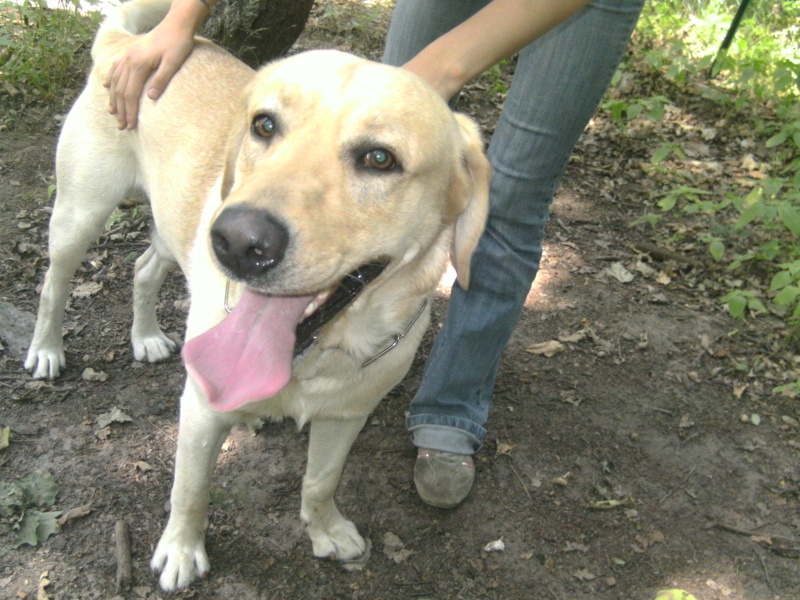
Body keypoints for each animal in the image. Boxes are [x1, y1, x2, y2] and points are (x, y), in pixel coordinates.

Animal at [23, 0, 488, 592]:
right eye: (264, 125)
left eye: (380, 158)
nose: (239, 241)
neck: (318, 353)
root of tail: (124, 46)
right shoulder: (199, 409)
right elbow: (190, 489)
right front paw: (181, 550)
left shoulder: (347, 415)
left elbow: (320, 481)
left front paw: (325, 529)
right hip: (81, 213)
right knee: (54, 285)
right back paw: (46, 350)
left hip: (174, 230)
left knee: (143, 269)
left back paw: (147, 337)